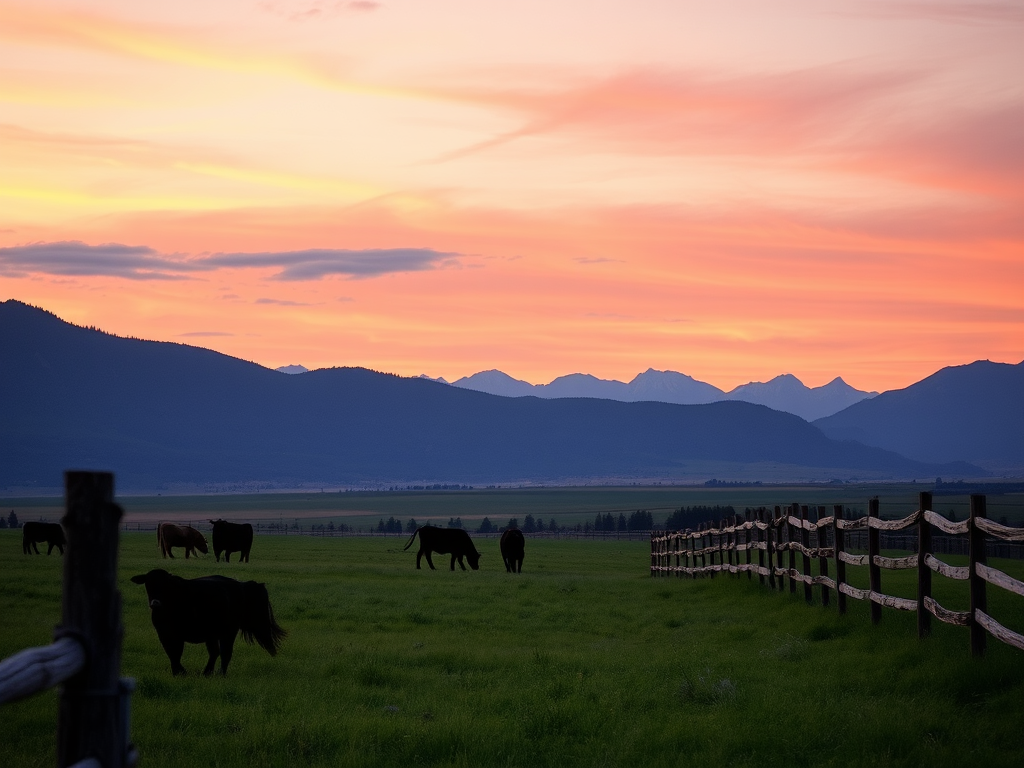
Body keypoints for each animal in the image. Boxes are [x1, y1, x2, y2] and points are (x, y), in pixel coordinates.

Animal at [131, 569, 288, 675]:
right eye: (148, 584)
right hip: (211, 634)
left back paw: (220, 673)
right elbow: (172, 653)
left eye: (165, 585)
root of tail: (240, 585)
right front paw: (178, 672)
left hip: (229, 631)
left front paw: (180, 672)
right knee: (214, 652)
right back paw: (207, 672)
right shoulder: (164, 633)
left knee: (225, 652)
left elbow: (176, 652)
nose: (155, 603)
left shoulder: (177, 634)